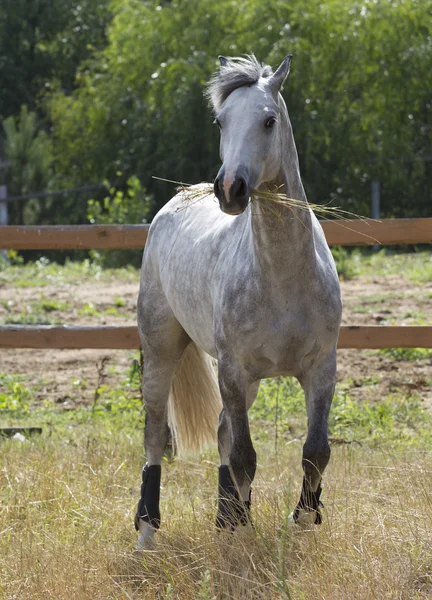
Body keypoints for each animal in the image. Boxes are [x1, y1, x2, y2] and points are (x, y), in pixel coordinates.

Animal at [135, 56, 340, 548]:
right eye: (220, 122)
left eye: (269, 121)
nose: (230, 188)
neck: (282, 278)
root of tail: (172, 204)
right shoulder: (232, 369)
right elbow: (246, 456)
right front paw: (244, 533)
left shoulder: (321, 369)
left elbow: (315, 451)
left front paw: (302, 519)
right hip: (162, 350)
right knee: (155, 435)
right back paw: (147, 532)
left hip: (244, 381)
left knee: (223, 432)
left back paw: (224, 518)